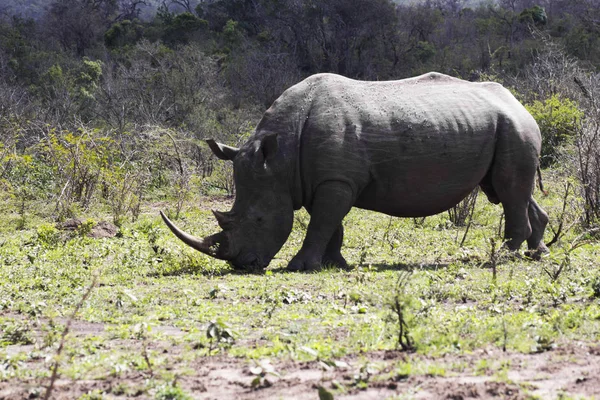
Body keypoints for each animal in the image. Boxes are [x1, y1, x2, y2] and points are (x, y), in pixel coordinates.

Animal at [159, 72, 548, 272]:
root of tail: (519, 102)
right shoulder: (320, 180)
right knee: (510, 189)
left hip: (513, 127)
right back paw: (537, 253)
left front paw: (299, 267)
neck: (278, 158)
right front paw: (336, 264)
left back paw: (505, 256)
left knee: (509, 189)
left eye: (257, 220)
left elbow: (321, 223)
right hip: (505, 126)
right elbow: (330, 224)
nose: (243, 265)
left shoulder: (334, 181)